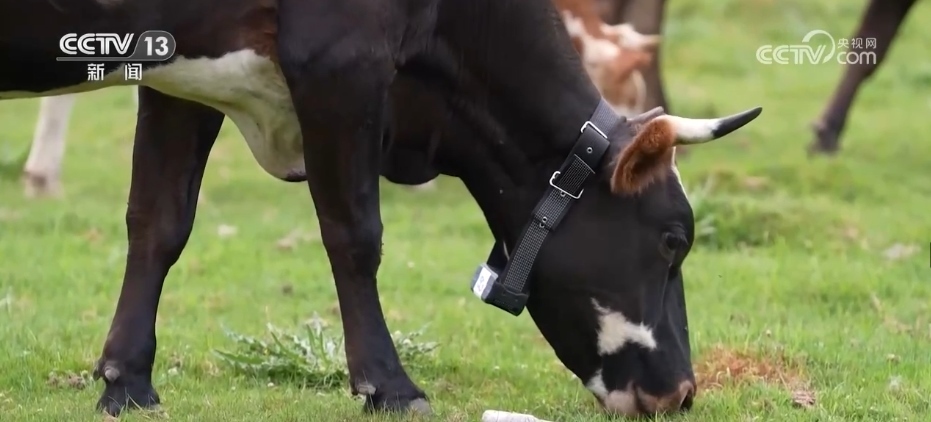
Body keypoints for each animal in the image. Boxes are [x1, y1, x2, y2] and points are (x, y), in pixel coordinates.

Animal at [0, 0, 762, 418]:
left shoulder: (181, 72)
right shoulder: (341, 62)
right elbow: (355, 235)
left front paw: (126, 381)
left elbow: (159, 223)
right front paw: (388, 386)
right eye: (672, 240)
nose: (679, 393)